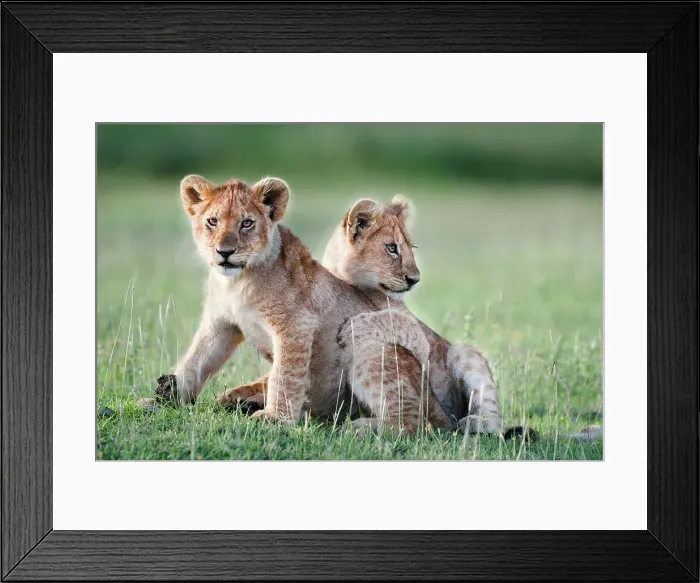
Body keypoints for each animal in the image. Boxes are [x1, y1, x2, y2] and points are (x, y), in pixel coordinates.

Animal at [144, 175, 453, 435]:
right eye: (212, 221)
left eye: (247, 223)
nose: (225, 252)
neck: (237, 283)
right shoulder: (220, 326)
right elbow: (195, 361)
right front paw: (163, 399)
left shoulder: (296, 325)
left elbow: (286, 375)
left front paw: (274, 419)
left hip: (373, 352)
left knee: (413, 422)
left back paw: (359, 427)